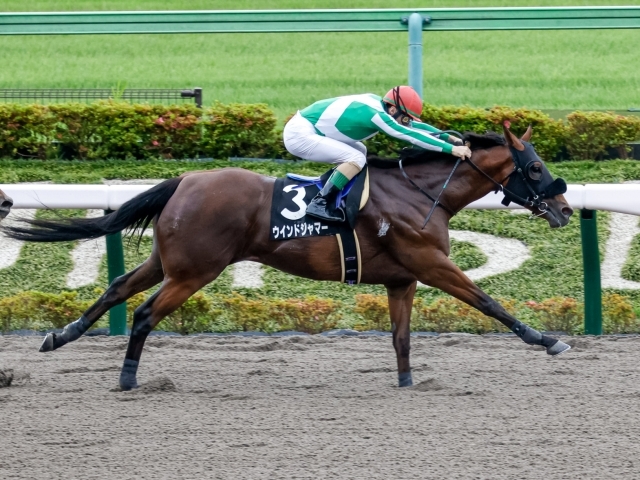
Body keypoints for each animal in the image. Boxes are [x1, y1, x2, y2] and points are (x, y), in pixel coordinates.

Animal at [3, 124, 576, 390]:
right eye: (536, 166)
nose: (567, 209)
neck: (421, 193)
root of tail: (186, 179)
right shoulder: (431, 264)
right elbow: (487, 302)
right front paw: (547, 340)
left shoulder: (402, 279)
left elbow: (401, 337)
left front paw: (408, 382)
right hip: (195, 271)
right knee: (143, 313)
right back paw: (127, 377)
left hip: (171, 262)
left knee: (117, 287)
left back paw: (60, 336)